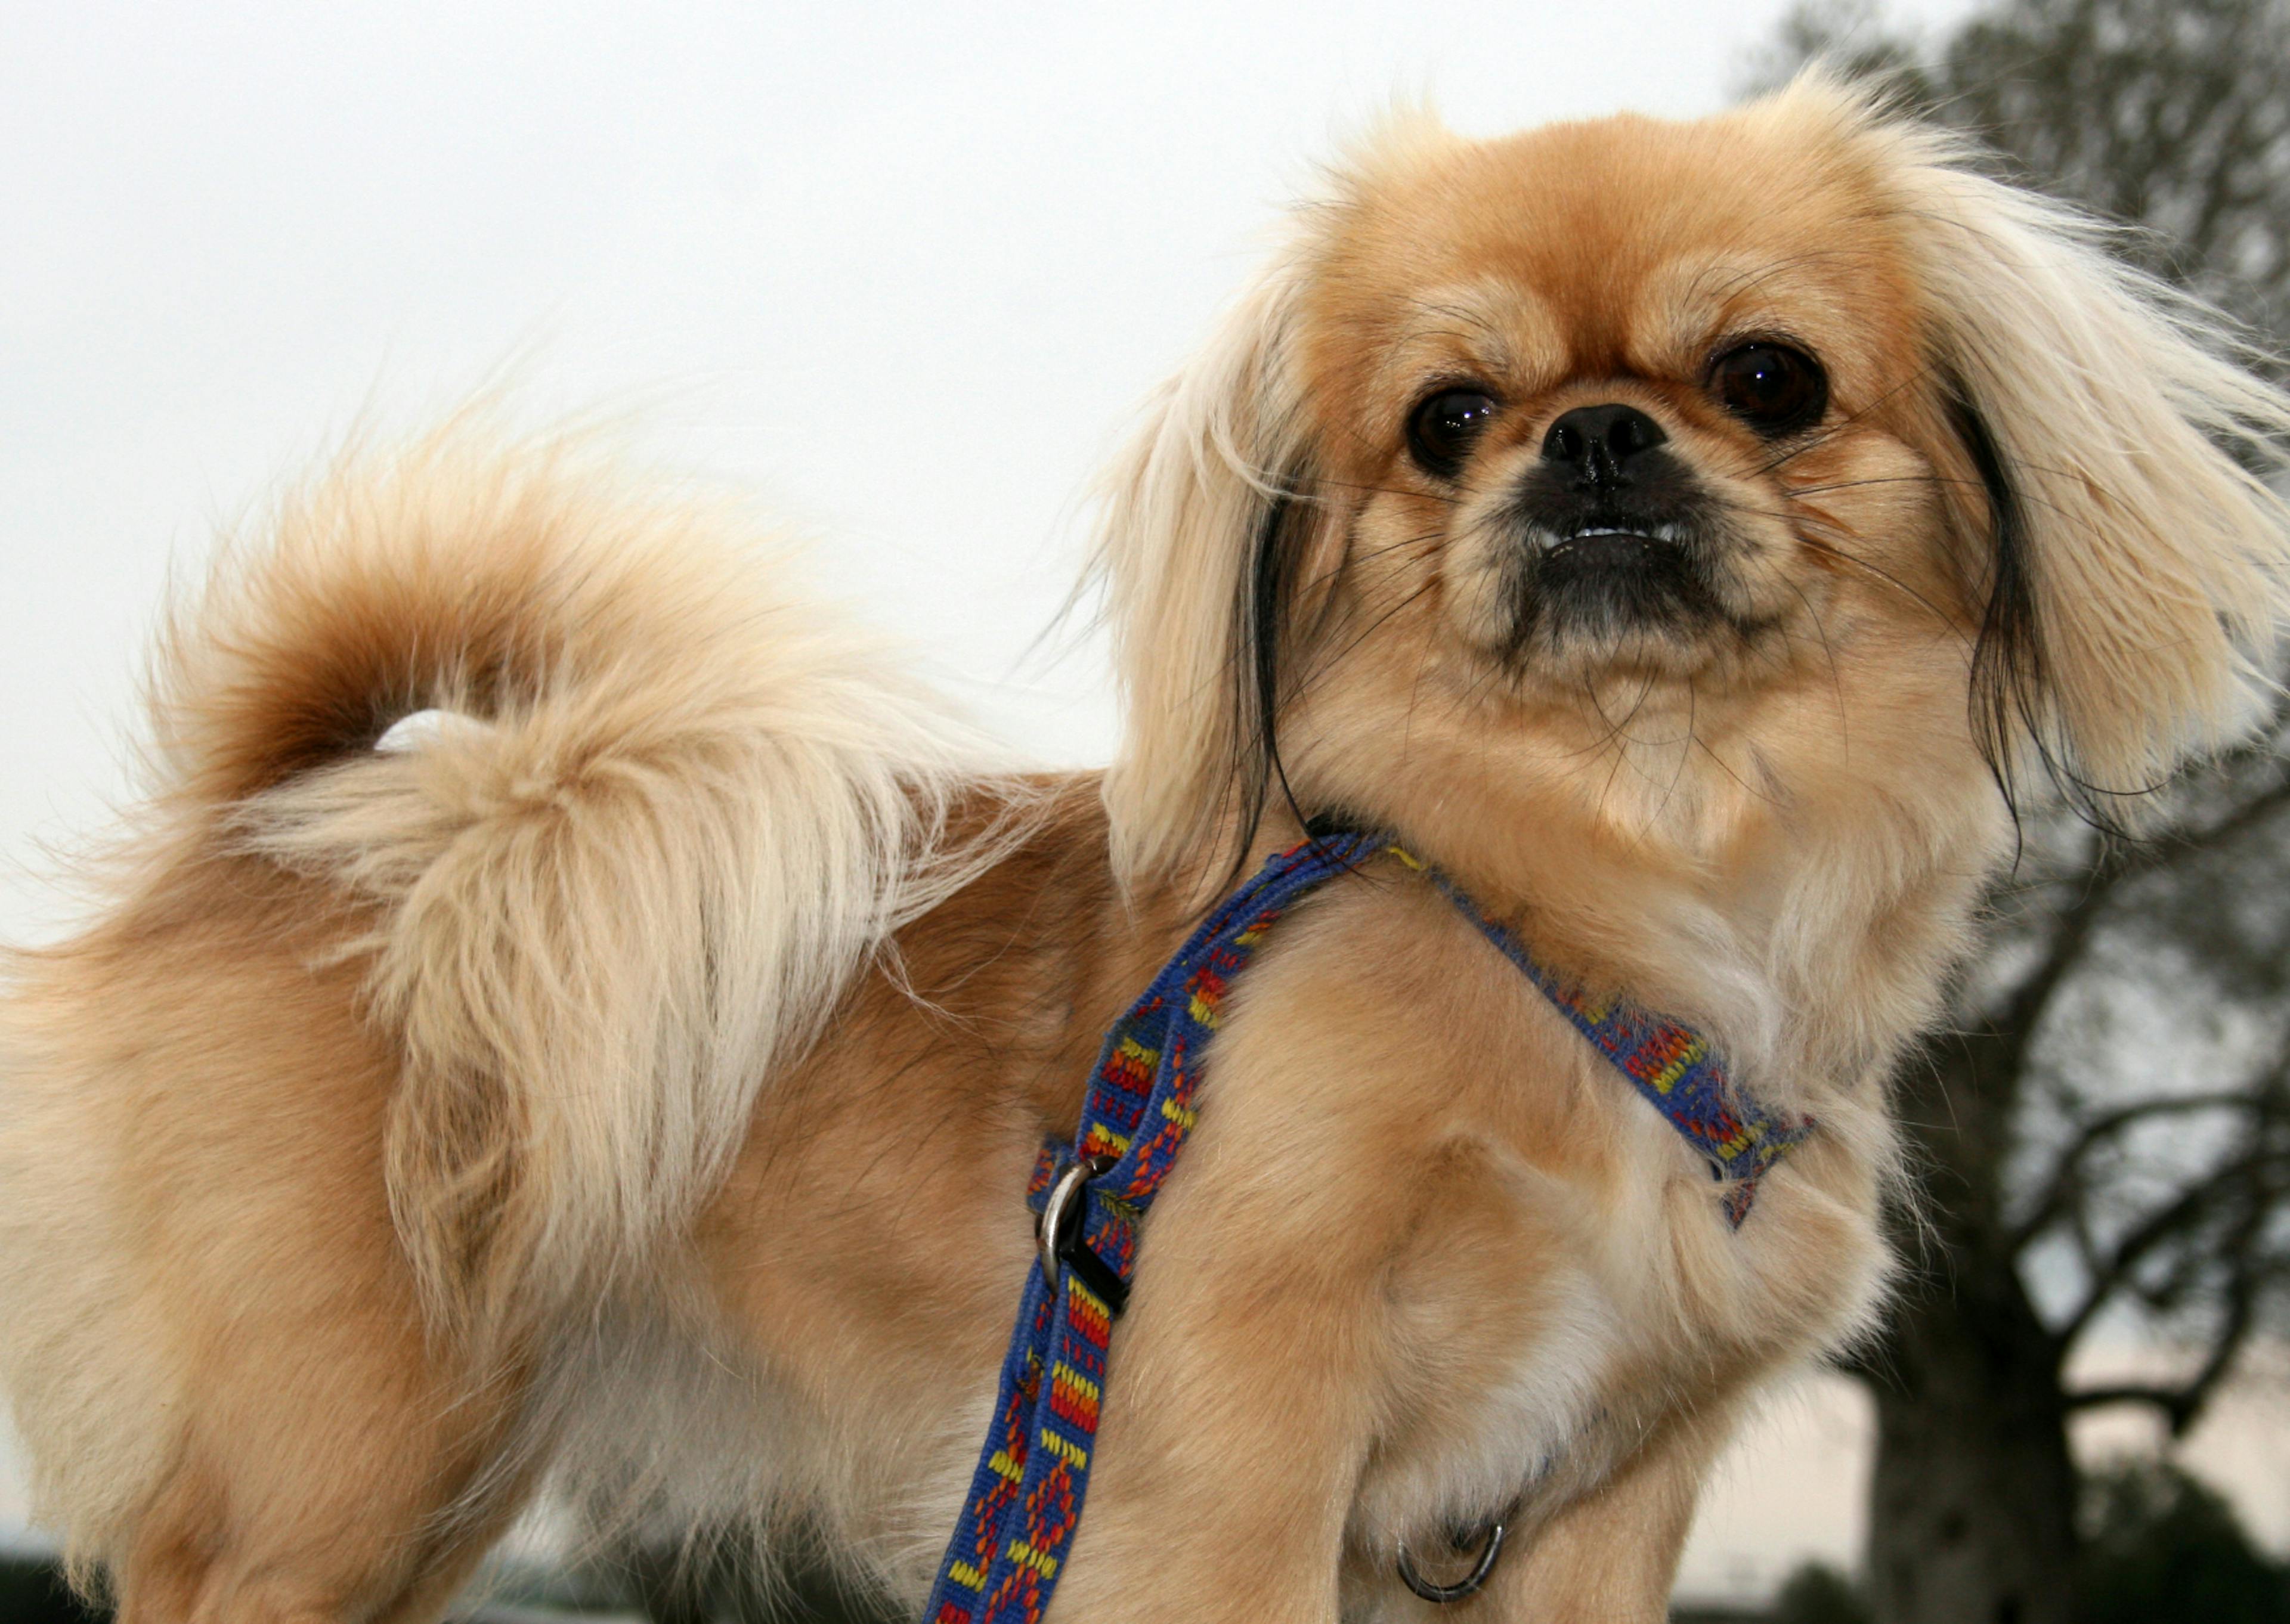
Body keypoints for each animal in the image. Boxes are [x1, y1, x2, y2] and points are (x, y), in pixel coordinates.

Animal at [4, 72, 2290, 1622]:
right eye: (1444, 420)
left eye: (1769, 379)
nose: (1594, 438)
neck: (1597, 895)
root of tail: (271, 822)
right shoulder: (1229, 1444)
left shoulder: (1596, 1504)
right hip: (328, 1478)